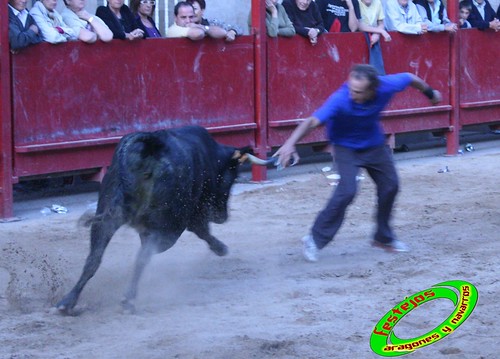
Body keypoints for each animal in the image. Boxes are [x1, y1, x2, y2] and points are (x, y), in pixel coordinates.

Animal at [56, 126, 268, 316]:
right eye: (232, 177)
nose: (222, 216)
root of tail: (150, 145)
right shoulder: (183, 219)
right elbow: (202, 230)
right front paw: (221, 248)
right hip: (166, 229)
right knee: (141, 258)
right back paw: (128, 300)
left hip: (107, 216)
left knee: (94, 257)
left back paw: (68, 302)